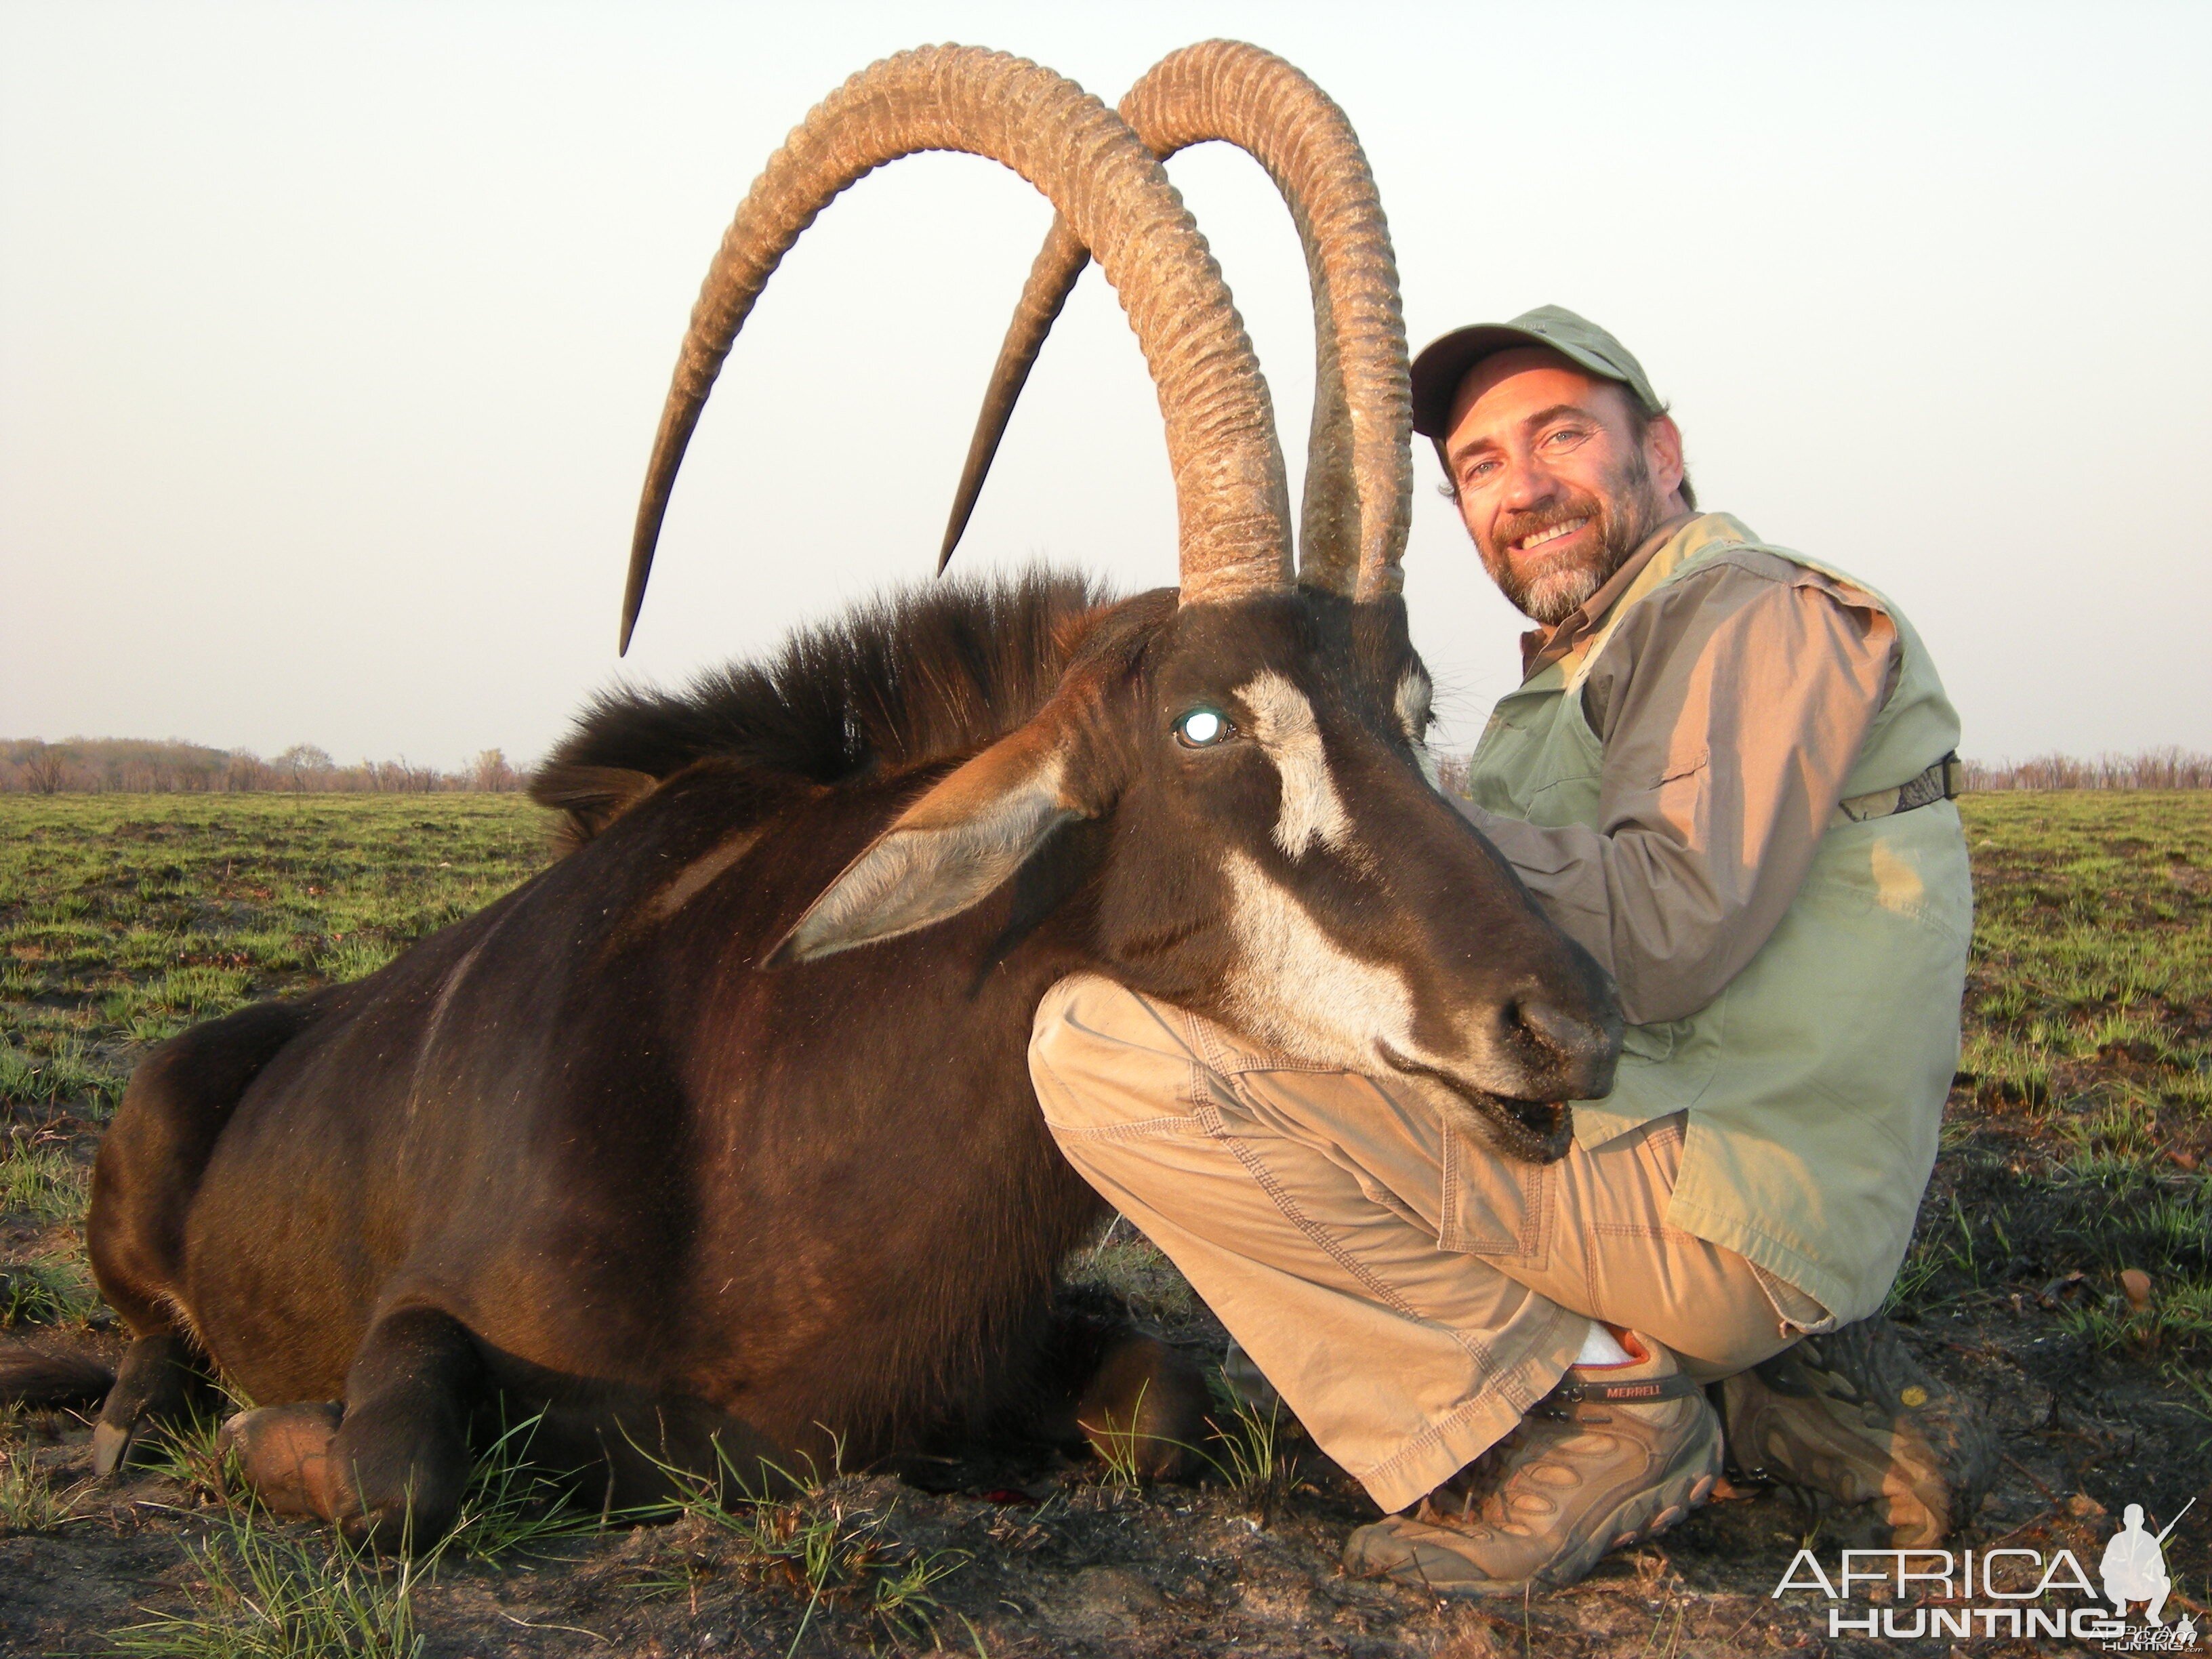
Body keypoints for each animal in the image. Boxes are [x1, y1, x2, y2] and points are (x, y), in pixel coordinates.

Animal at [13, 45, 1628, 1557]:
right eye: (1204, 719)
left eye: (1413, 709)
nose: (1565, 1025)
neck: (755, 1099)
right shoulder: (422, 1316)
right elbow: (399, 1472)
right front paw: (255, 1435)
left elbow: (1170, 1401)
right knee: (150, 1345)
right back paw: (131, 1422)